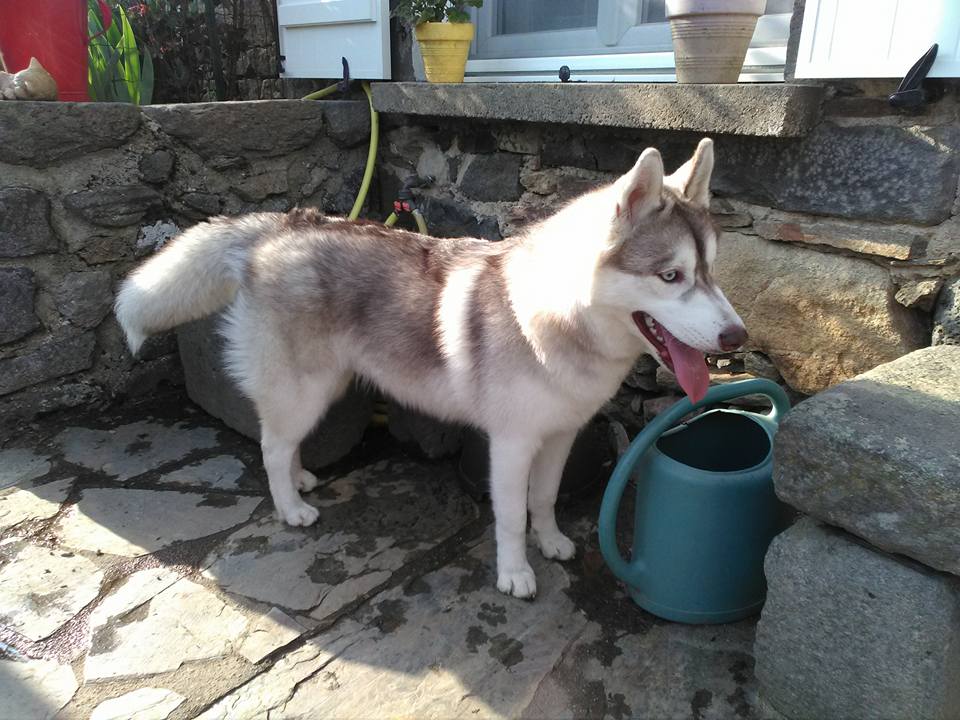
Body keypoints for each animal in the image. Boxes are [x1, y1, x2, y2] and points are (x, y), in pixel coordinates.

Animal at [115, 138, 746, 598]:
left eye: (711, 271)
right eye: (671, 276)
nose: (736, 336)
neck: (557, 316)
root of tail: (279, 224)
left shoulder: (559, 435)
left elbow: (543, 500)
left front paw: (550, 542)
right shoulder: (511, 444)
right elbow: (511, 515)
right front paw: (515, 573)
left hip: (322, 386)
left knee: (282, 442)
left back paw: (298, 480)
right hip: (305, 388)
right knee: (271, 444)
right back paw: (290, 506)